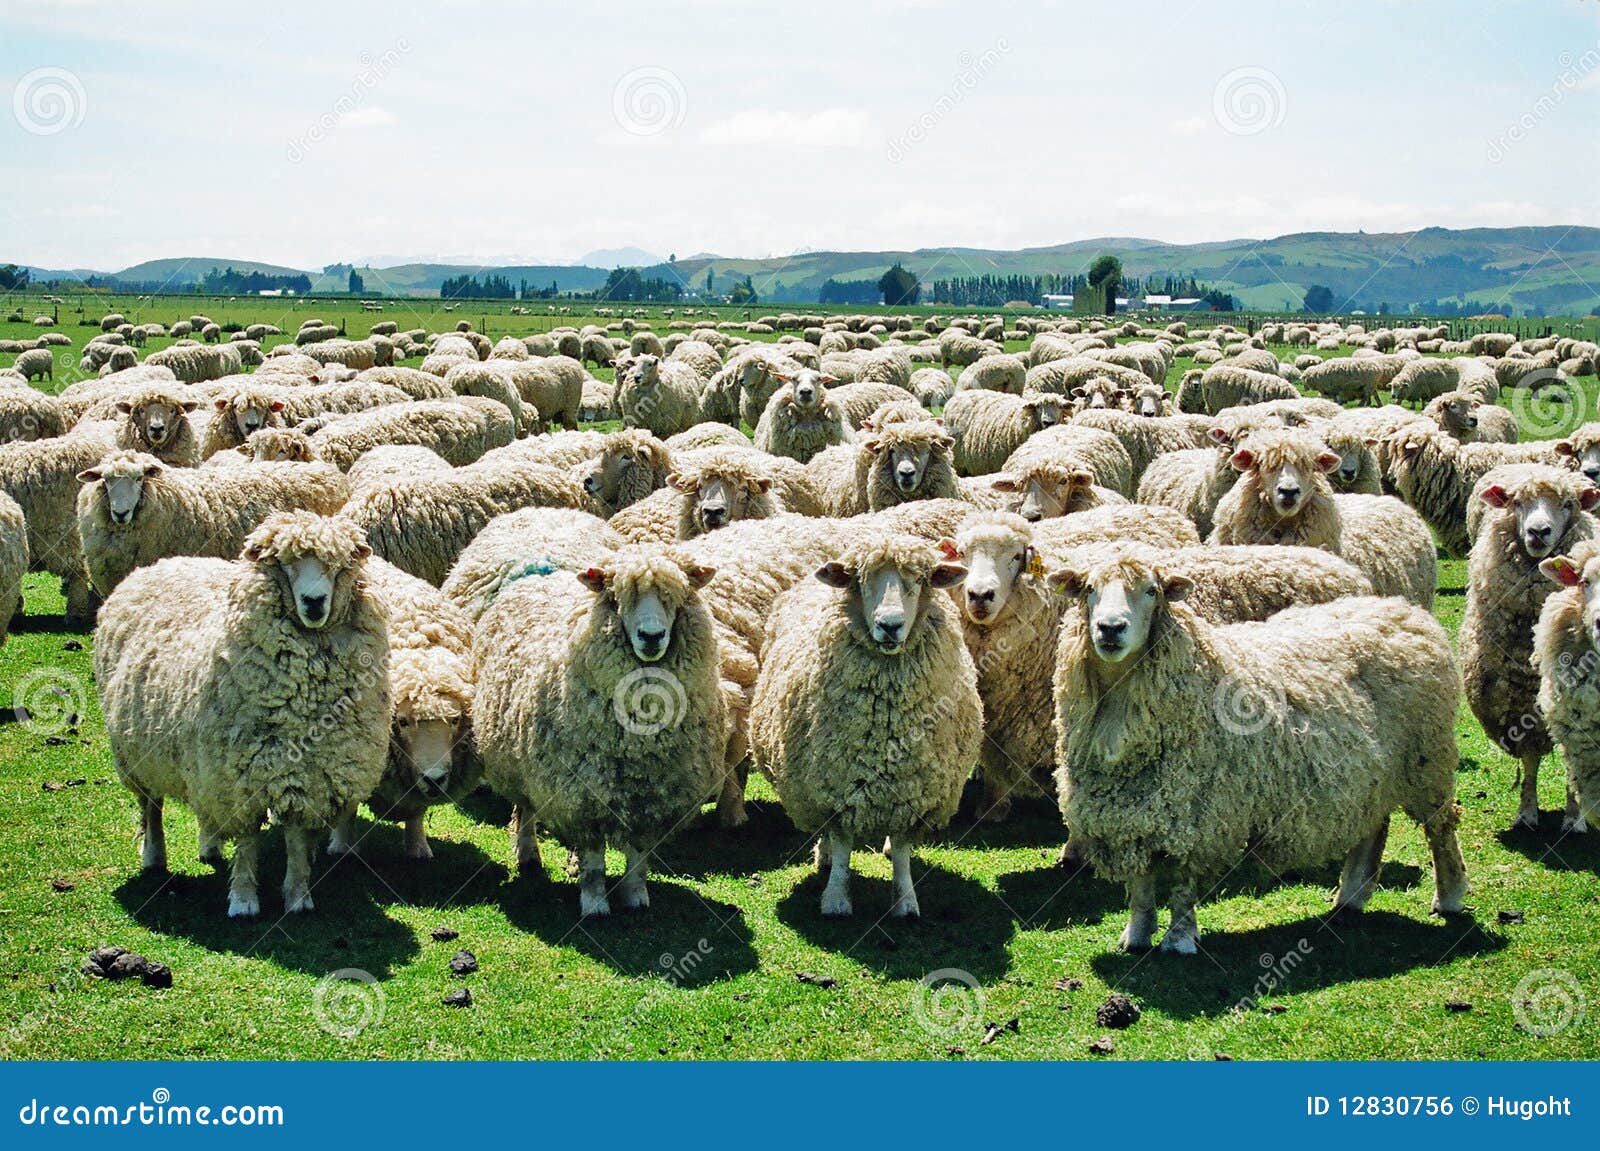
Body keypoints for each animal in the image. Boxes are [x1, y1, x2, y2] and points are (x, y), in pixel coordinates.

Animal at [94, 512, 390, 916]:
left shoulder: (306, 776)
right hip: (138, 755)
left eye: (337, 565)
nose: (314, 602)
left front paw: (298, 896)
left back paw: (210, 844)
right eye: (283, 563)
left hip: (200, 761)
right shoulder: (241, 774)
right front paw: (244, 899)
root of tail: (160, 563)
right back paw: (154, 856)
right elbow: (248, 840)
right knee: (151, 806)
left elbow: (296, 841)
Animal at [475, 547, 726, 914]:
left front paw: (636, 898)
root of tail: (537, 574)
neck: (640, 745)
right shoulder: (584, 793)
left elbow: (638, 856)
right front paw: (594, 905)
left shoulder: (649, 795)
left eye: (676, 597)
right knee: (526, 809)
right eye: (617, 598)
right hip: (523, 766)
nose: (652, 637)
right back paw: (529, 854)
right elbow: (594, 860)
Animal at [749, 533, 981, 918]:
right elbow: (842, 843)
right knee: (826, 835)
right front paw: (836, 899)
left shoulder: (913, 790)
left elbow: (901, 850)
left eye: (921, 580)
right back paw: (824, 858)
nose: (890, 625)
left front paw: (905, 902)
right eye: (860, 580)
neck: (887, 718)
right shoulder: (835, 784)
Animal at [1049, 551, 1467, 952]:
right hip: (1375, 773)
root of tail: (1403, 610)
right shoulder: (1130, 818)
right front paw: (1136, 936)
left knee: (1441, 828)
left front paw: (1180, 939)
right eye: (1089, 589)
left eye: (1152, 591)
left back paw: (1449, 896)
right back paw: (1351, 896)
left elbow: (1182, 885)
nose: (1110, 628)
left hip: (1426, 759)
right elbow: (1140, 885)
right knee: (1373, 825)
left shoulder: (1197, 814)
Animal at [1461, 465, 1600, 830]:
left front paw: (1574, 817)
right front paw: (1526, 811)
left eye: (1567, 504)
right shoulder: (1518, 703)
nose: (1539, 532)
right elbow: (1530, 759)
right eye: (1517, 502)